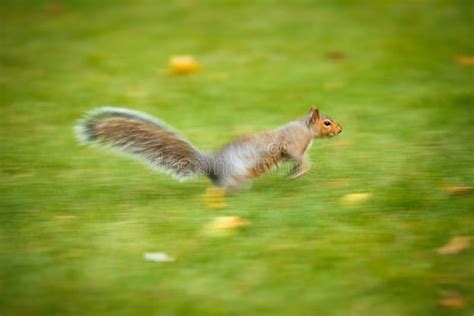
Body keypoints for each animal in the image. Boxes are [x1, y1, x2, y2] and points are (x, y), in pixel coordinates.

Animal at [75, 106, 340, 189]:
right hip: (236, 173)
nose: (340, 129)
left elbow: (295, 161)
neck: (305, 129)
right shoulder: (292, 144)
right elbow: (300, 159)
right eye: (326, 123)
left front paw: (293, 172)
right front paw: (300, 171)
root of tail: (210, 164)